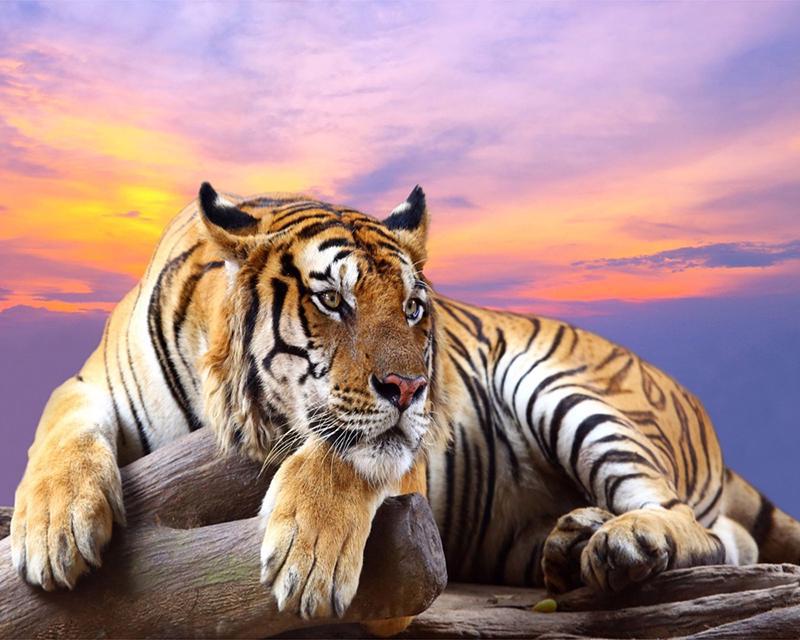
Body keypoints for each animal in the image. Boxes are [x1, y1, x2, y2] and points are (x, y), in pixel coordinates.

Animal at [10, 182, 800, 636]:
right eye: (333, 299)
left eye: (415, 307)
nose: (413, 388)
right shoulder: (91, 383)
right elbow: (57, 427)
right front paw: (52, 531)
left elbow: (346, 455)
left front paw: (308, 560)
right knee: (730, 538)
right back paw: (574, 541)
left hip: (566, 388)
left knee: (696, 527)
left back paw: (620, 543)